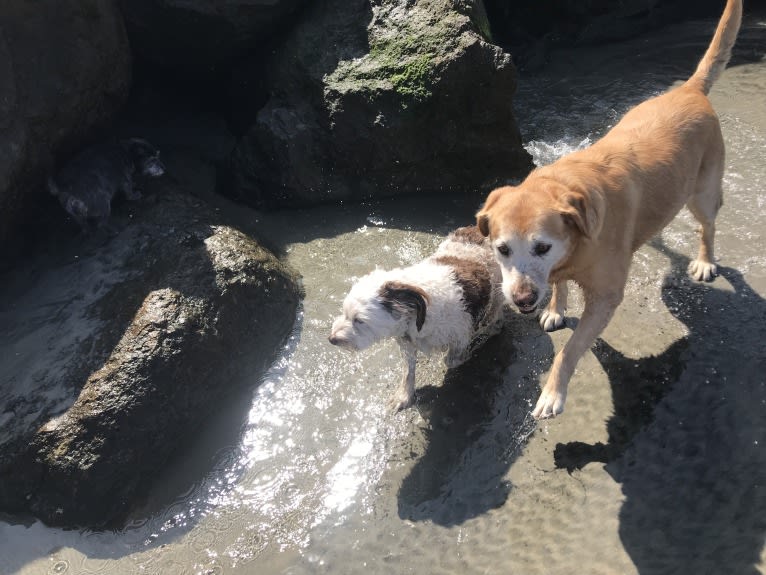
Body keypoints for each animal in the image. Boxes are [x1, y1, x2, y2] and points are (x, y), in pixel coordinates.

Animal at [328, 225, 504, 410]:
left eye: (359, 320)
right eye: (344, 313)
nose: (332, 339)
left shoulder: (460, 336)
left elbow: (451, 359)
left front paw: (471, 350)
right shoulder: (406, 343)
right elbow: (408, 371)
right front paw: (404, 395)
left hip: (497, 294)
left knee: (496, 320)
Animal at [476, 1, 740, 424]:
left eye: (541, 247)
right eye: (502, 249)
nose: (522, 299)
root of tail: (689, 88)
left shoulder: (606, 297)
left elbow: (569, 351)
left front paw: (553, 393)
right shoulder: (561, 272)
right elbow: (561, 291)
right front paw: (556, 308)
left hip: (702, 193)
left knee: (709, 226)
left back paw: (704, 261)